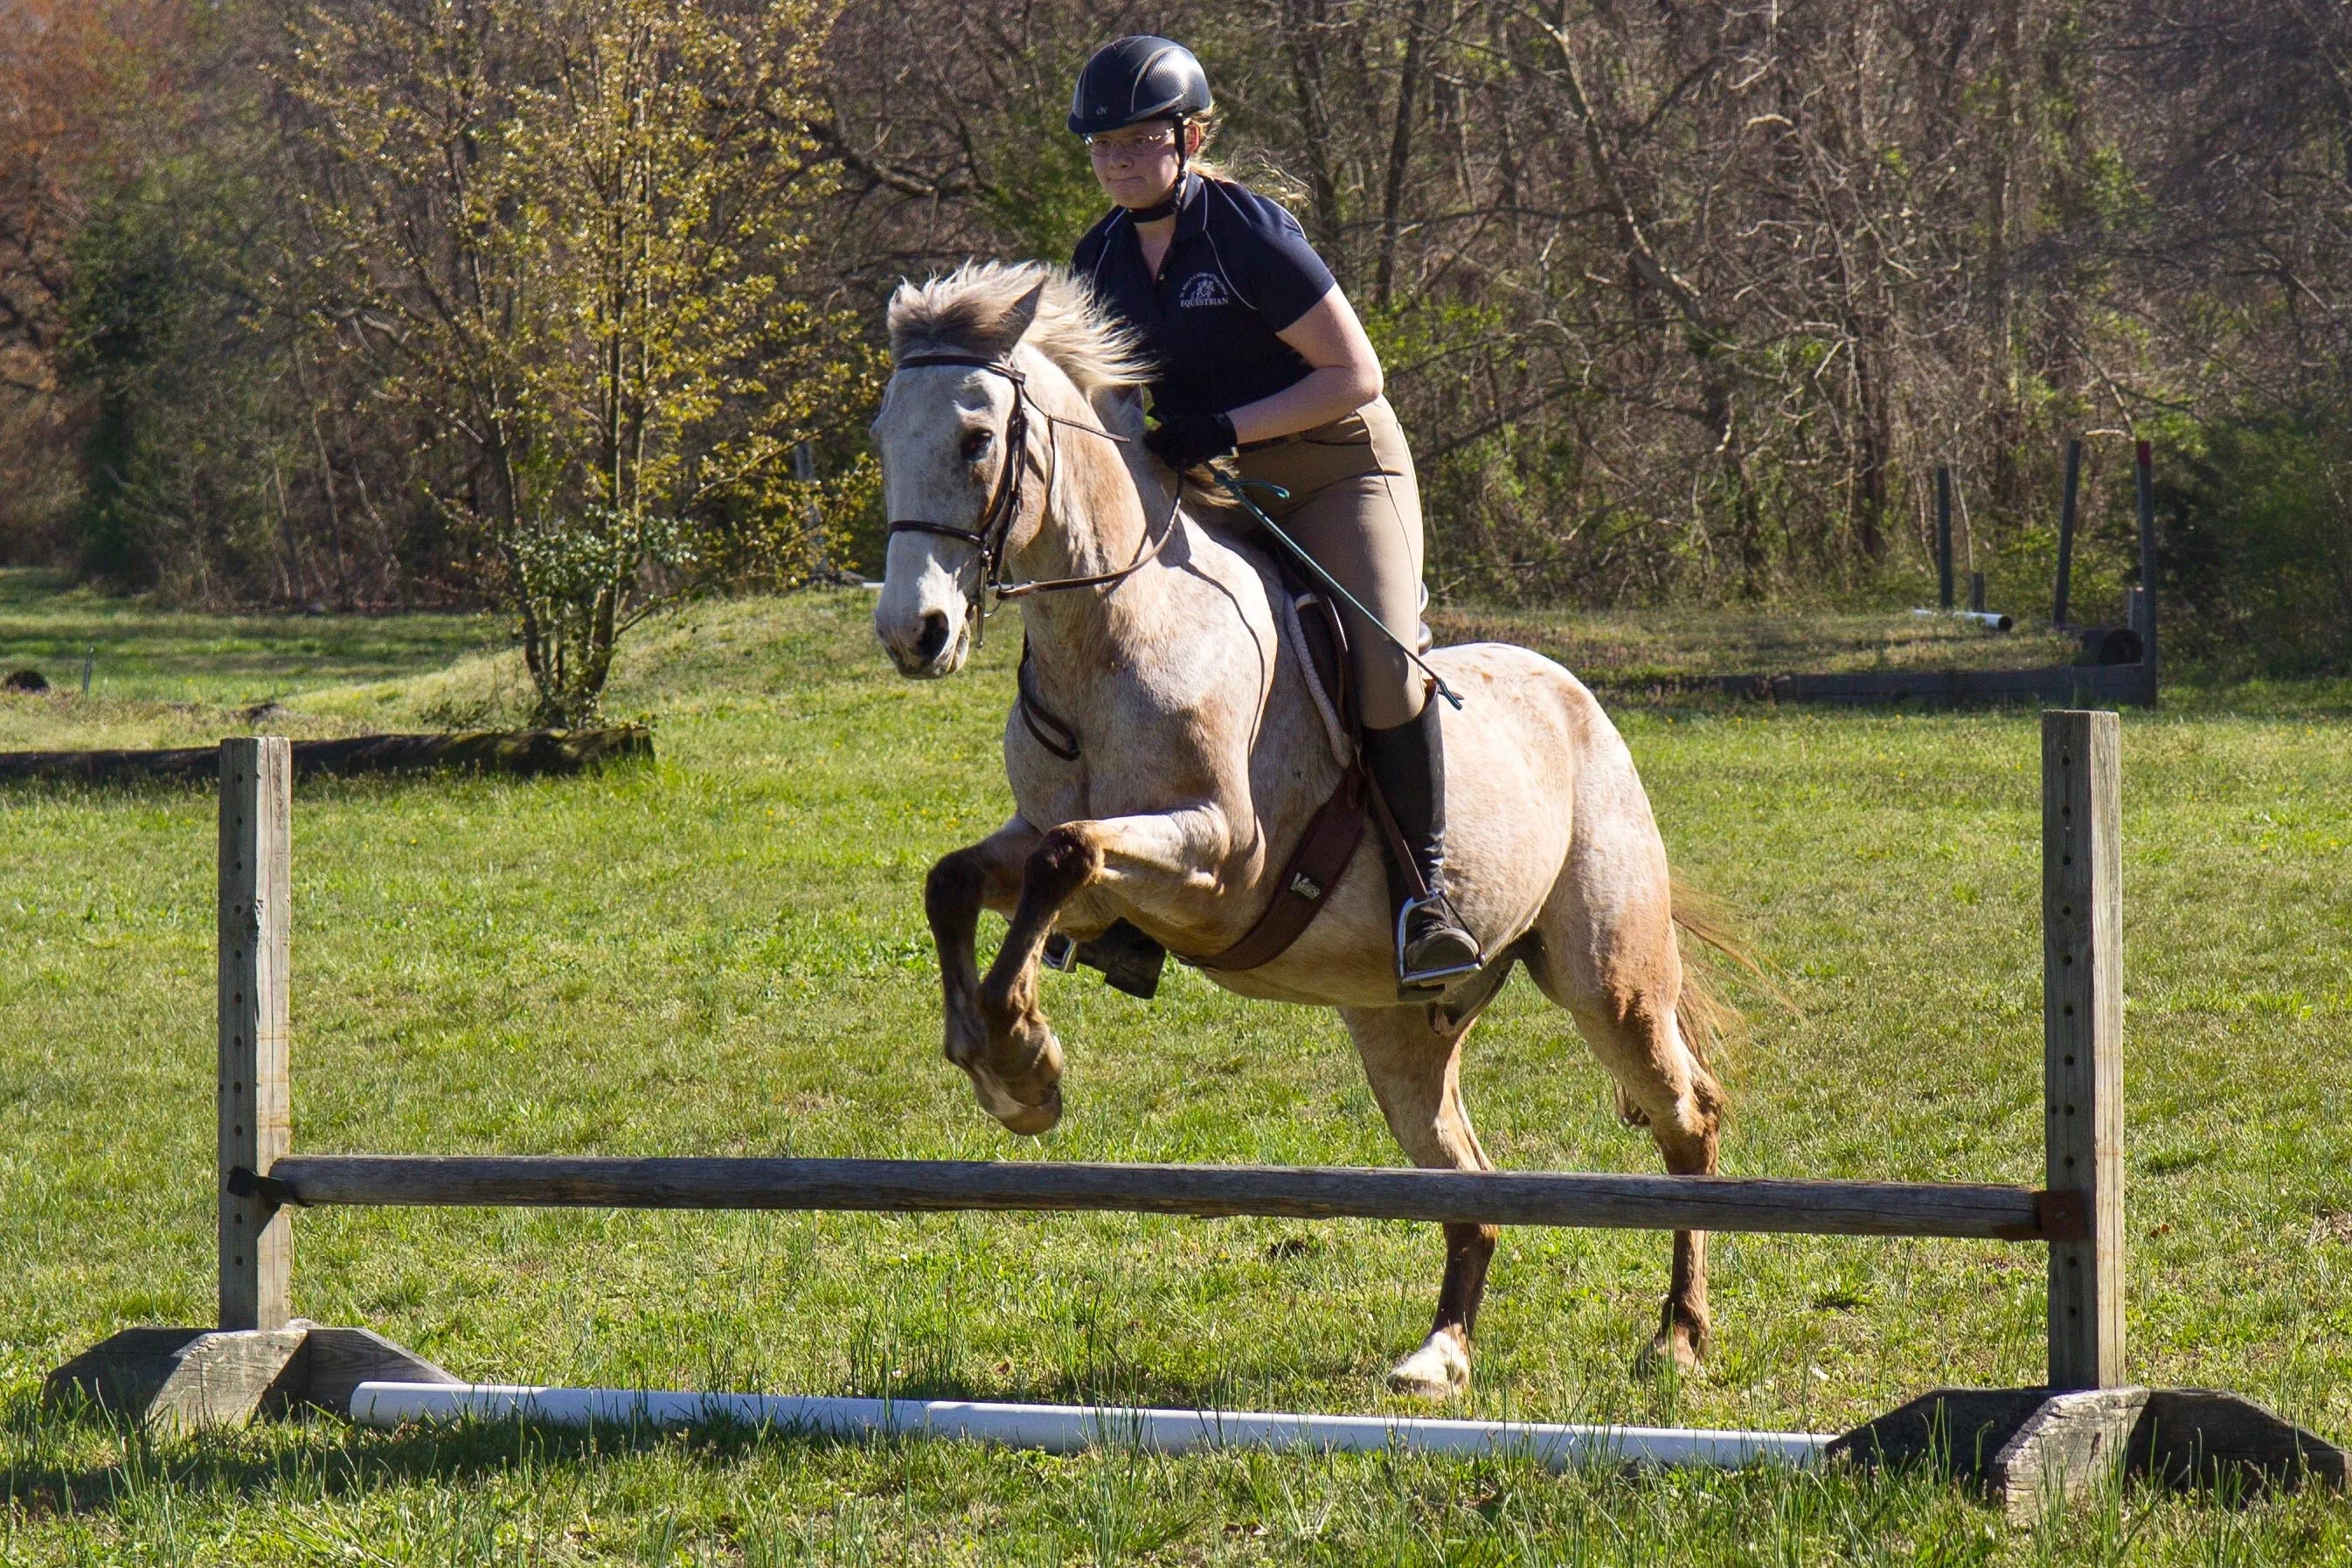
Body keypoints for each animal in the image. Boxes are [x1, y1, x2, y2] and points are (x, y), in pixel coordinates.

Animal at [869, 260, 1728, 1393]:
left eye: (975, 439)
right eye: (883, 436)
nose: (912, 633)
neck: (1109, 636)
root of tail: (1575, 694)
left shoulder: (1220, 863)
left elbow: (1069, 853)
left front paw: (1022, 1056)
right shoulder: (1064, 855)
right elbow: (961, 878)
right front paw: (998, 1060)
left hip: (1610, 980)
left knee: (1686, 1118)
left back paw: (1677, 1335)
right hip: (1402, 1030)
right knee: (1468, 1180)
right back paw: (1440, 1355)